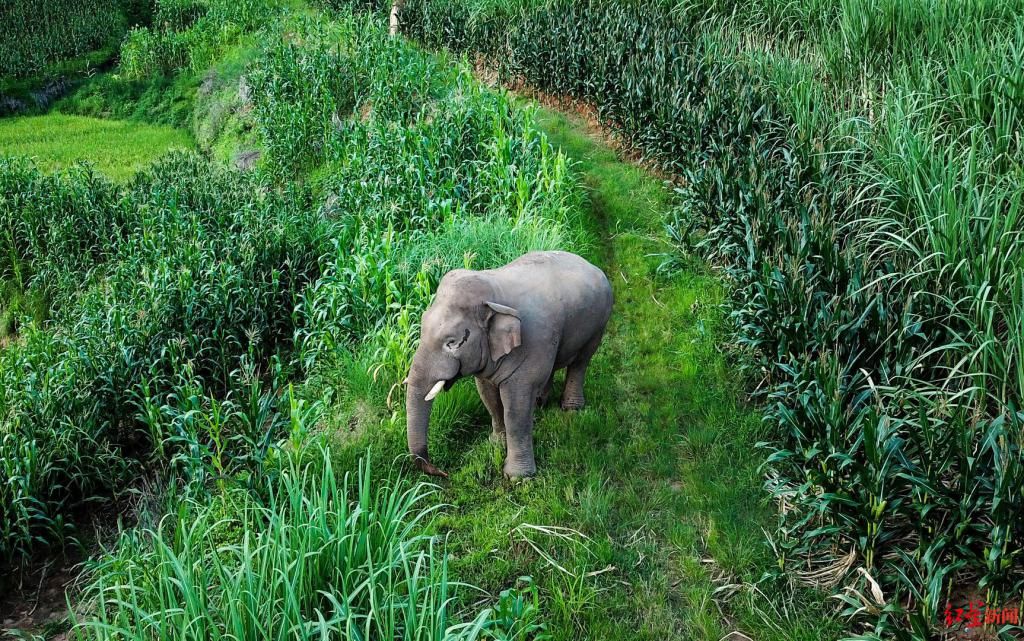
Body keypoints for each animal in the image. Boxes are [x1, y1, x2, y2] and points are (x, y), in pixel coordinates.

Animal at [401, 248, 610, 475]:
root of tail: (591, 264)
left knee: (581, 362)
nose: (443, 472)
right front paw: (496, 444)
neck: (494, 294)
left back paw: (571, 409)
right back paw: (540, 403)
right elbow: (488, 396)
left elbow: (516, 407)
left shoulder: (531, 342)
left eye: (452, 342)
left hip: (600, 322)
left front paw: (518, 476)